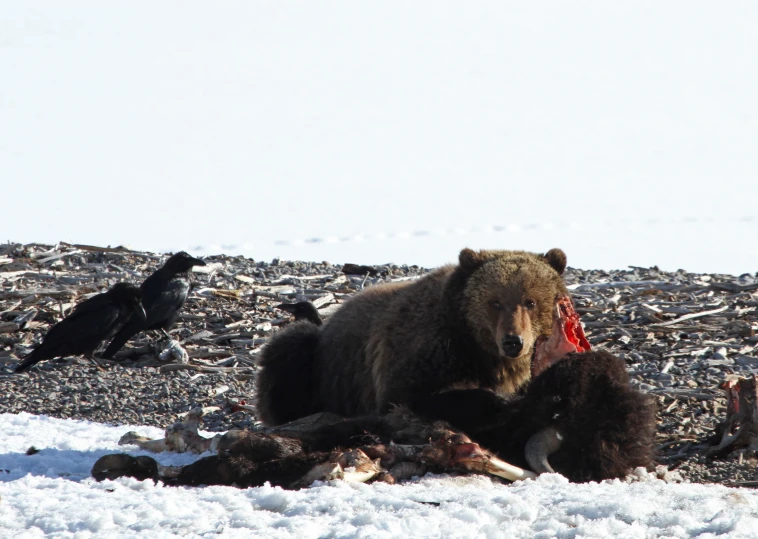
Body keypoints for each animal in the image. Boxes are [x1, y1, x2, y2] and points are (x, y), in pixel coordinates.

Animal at [258, 249, 584, 426]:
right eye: (495, 302)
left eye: (530, 301)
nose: (513, 341)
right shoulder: (423, 351)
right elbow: (405, 397)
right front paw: (492, 399)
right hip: (322, 365)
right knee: (288, 351)